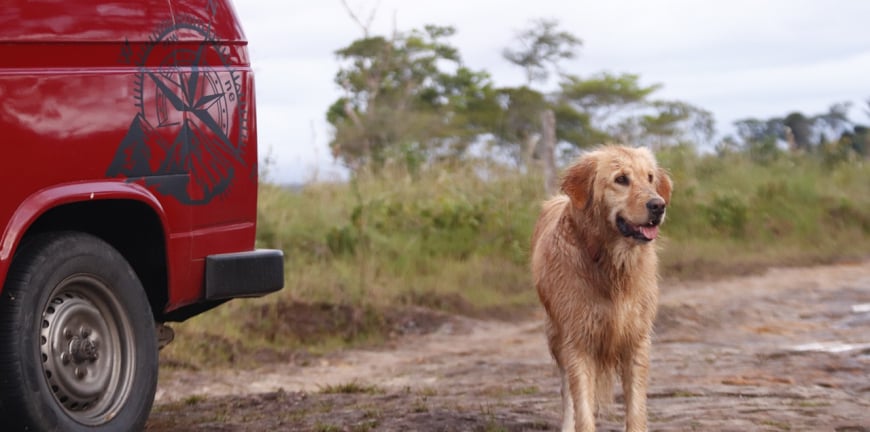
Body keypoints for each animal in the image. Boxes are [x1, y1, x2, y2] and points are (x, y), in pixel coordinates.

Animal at [532, 146, 676, 432]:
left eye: (650, 178)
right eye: (621, 179)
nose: (658, 205)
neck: (612, 263)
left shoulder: (636, 338)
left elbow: (635, 408)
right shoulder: (577, 340)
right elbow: (582, 408)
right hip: (556, 335)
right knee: (567, 394)